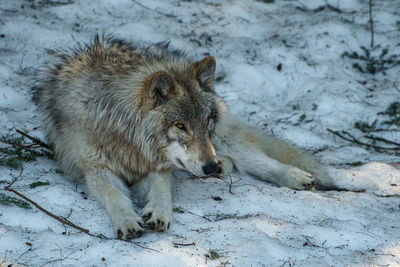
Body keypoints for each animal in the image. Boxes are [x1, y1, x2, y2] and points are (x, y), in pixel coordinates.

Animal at [32, 36, 336, 241]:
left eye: (205, 122)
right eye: (180, 125)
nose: (210, 167)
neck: (126, 135)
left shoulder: (157, 166)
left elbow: (161, 188)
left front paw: (159, 213)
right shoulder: (96, 169)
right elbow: (114, 195)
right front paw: (128, 220)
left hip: (221, 141)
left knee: (258, 159)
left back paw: (295, 176)